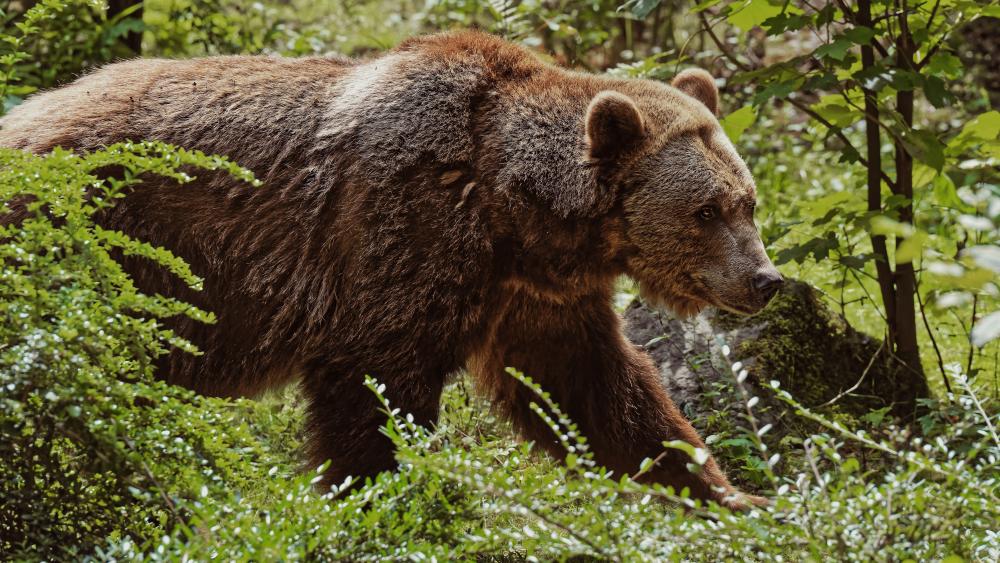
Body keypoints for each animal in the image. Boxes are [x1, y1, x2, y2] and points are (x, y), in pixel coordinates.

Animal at [0, 31, 783, 509]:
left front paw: (731, 493)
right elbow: (374, 391)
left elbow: (600, 393)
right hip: (87, 242)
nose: (764, 280)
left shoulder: (532, 295)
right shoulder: (401, 232)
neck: (514, 209)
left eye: (748, 201)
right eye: (707, 211)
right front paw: (382, 499)